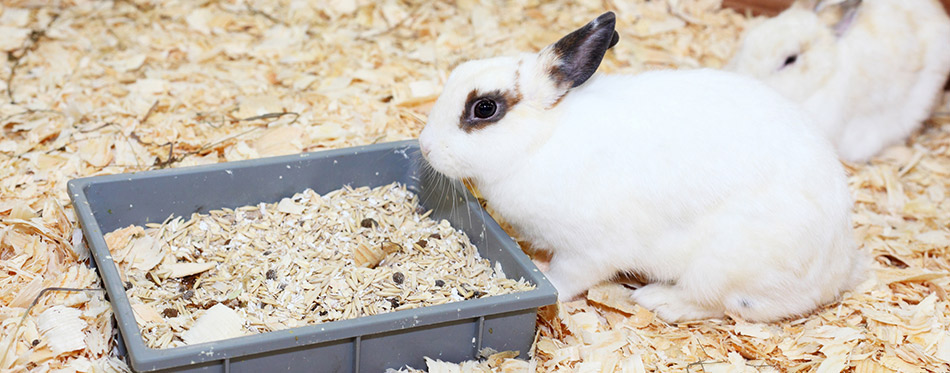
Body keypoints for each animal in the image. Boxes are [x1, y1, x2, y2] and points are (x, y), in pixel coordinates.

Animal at [420, 10, 868, 322]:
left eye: (485, 108)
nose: (424, 147)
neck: (541, 142)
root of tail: (839, 270)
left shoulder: (588, 252)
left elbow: (567, 279)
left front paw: (545, 274)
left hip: (722, 266)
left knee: (722, 304)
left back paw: (657, 300)